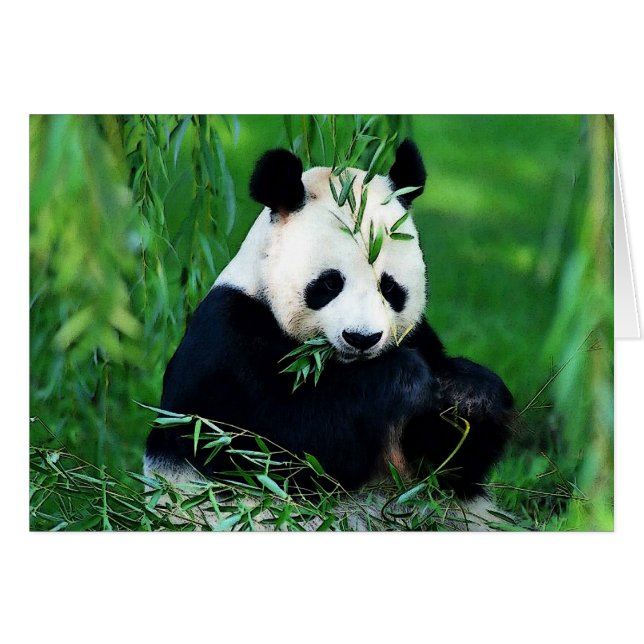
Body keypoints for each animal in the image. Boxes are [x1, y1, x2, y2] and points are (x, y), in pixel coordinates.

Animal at [144, 139, 515, 530]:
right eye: (330, 283)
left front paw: (468, 394)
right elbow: (282, 446)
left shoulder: (418, 336)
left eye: (389, 287)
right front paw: (401, 376)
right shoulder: (226, 343)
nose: (361, 338)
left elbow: (448, 465)